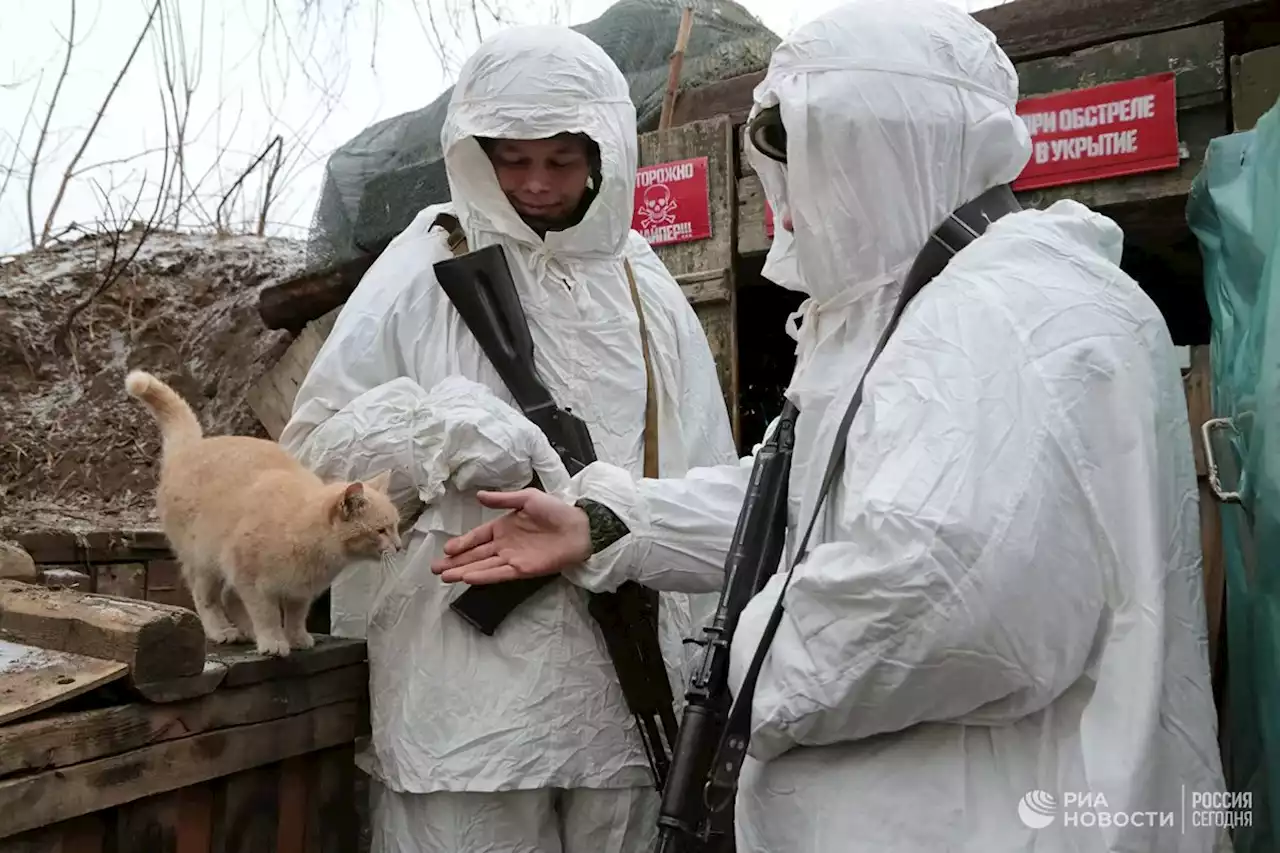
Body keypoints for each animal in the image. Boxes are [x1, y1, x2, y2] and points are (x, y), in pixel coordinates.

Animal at [128, 368, 399, 653]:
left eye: (395, 527)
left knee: (228, 597)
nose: (399, 545)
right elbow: (266, 614)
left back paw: (246, 630)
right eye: (382, 530)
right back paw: (221, 630)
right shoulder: (251, 581)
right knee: (206, 598)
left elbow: (295, 615)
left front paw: (296, 637)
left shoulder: (299, 592)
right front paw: (273, 641)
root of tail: (190, 447)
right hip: (204, 562)